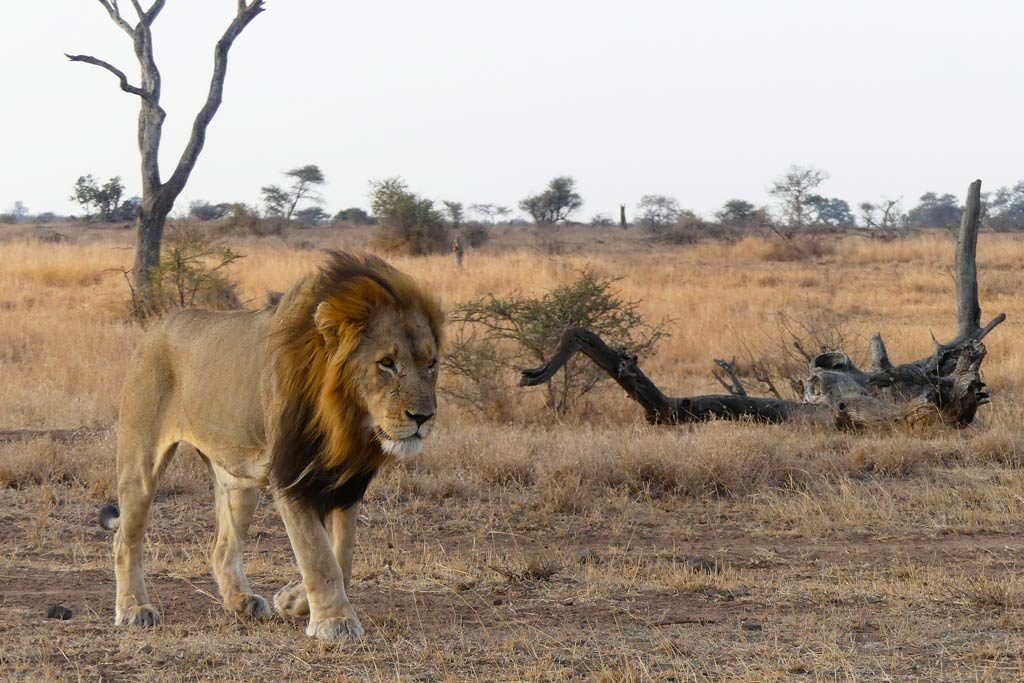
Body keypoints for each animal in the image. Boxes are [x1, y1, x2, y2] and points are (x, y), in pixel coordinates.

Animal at [100, 251, 443, 639]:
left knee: (221, 547)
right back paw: (134, 608)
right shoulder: (291, 474)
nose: (423, 417)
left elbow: (343, 555)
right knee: (125, 539)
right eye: (386, 363)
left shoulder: (344, 481)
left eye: (431, 364)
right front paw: (335, 622)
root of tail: (156, 326)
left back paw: (241, 602)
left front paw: (294, 600)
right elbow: (318, 554)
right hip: (141, 461)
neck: (346, 420)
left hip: (239, 478)